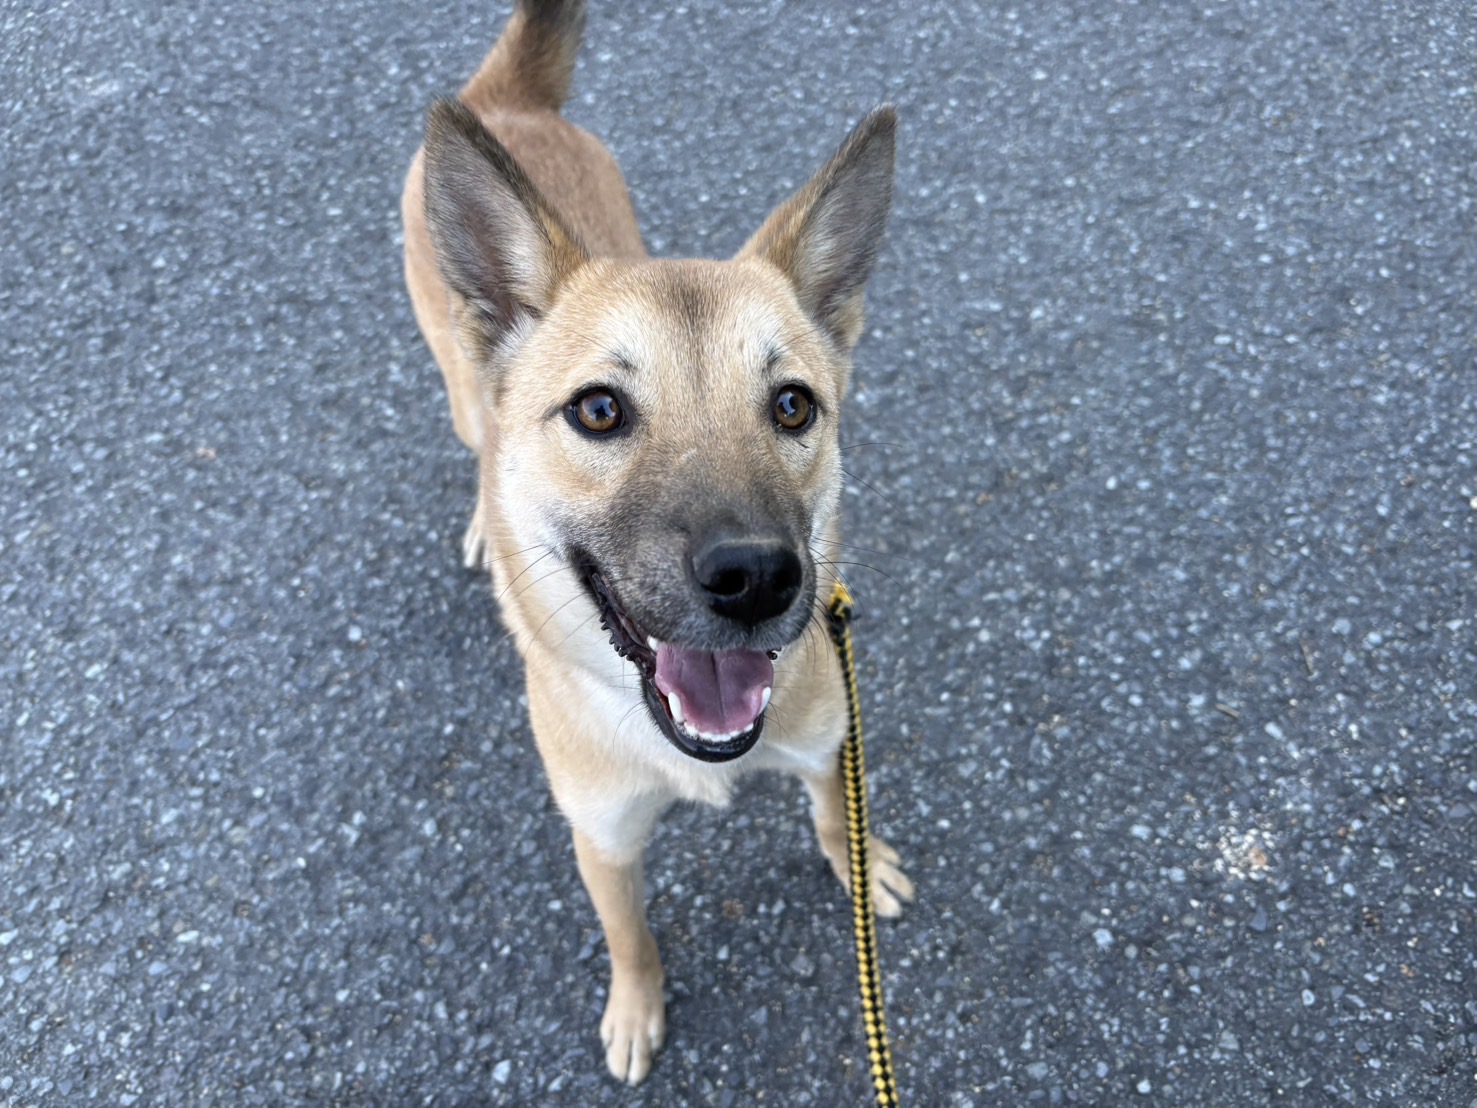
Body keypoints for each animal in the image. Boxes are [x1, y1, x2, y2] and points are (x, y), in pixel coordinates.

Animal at [401, 0, 912, 1085]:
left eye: (793, 405)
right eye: (598, 410)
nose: (756, 577)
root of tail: (505, 102)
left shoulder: (825, 745)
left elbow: (830, 811)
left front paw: (858, 865)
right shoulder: (602, 838)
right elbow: (628, 934)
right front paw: (636, 1009)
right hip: (460, 383)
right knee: (475, 437)